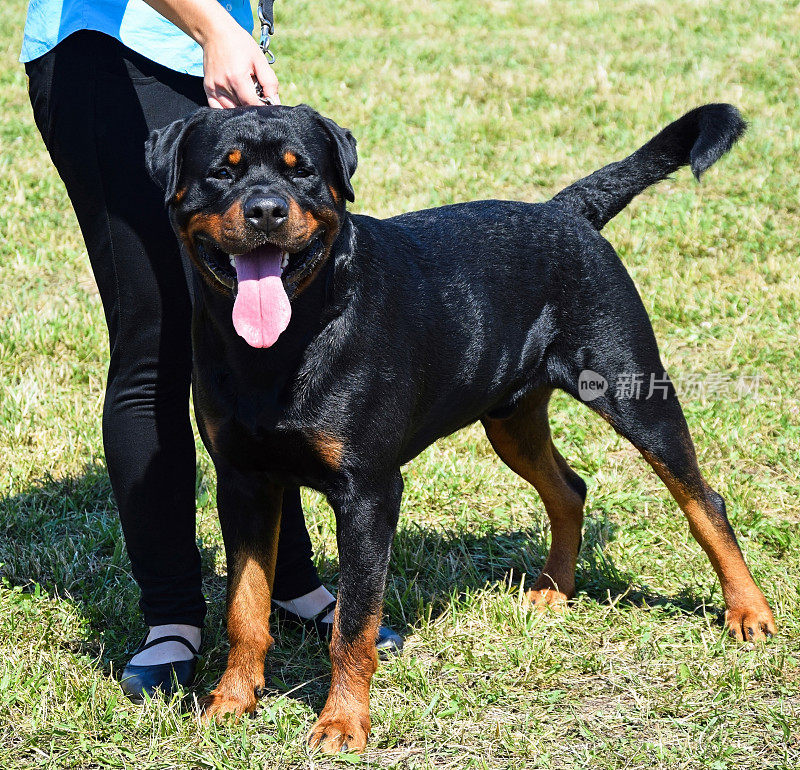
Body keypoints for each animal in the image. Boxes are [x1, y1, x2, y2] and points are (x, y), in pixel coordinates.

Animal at [145, 102, 776, 752]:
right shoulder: (243, 481)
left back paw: (748, 612)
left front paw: (342, 722)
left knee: (703, 499)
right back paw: (554, 589)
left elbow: (353, 624)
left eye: (302, 172)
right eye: (224, 171)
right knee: (569, 489)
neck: (284, 342)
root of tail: (564, 210)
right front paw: (231, 701)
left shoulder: (368, 491)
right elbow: (245, 607)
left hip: (634, 390)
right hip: (511, 418)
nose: (267, 209)